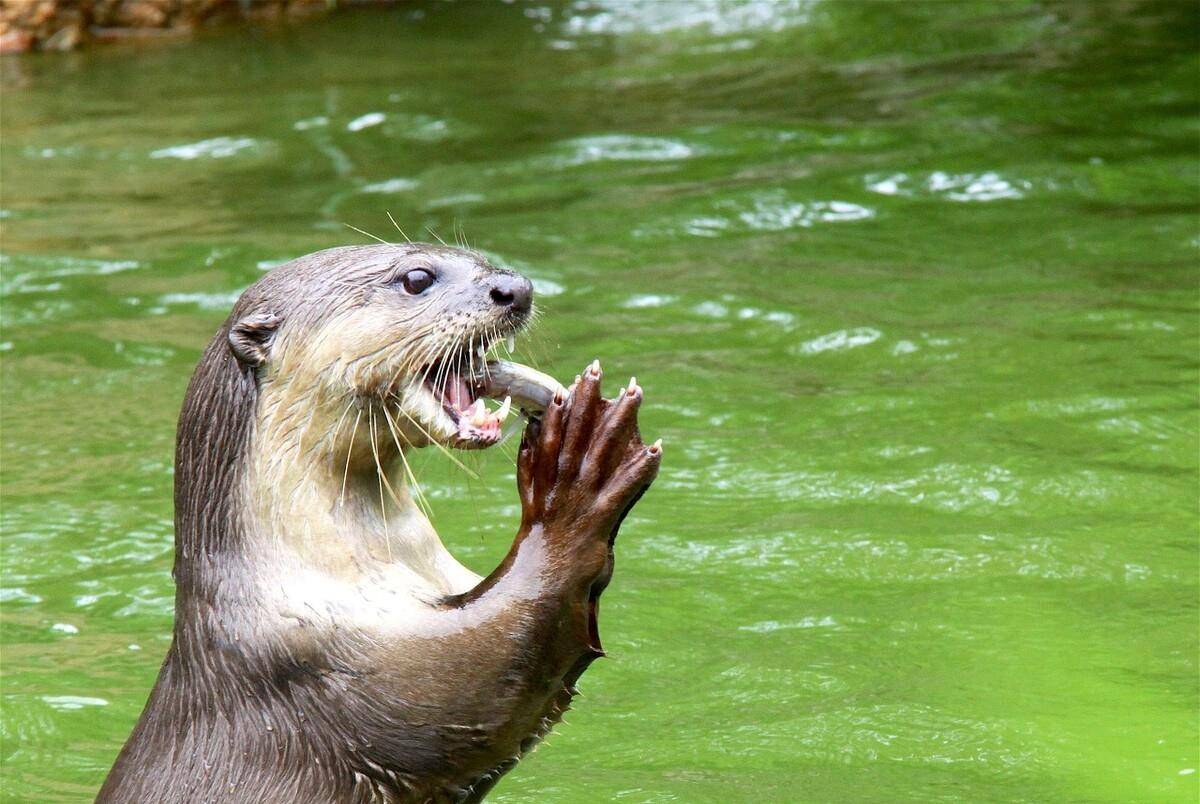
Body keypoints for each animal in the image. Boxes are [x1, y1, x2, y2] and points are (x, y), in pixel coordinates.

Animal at [97, 247, 662, 804]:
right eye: (417, 278)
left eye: (477, 256)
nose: (515, 288)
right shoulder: (323, 666)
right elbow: (473, 686)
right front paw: (578, 467)